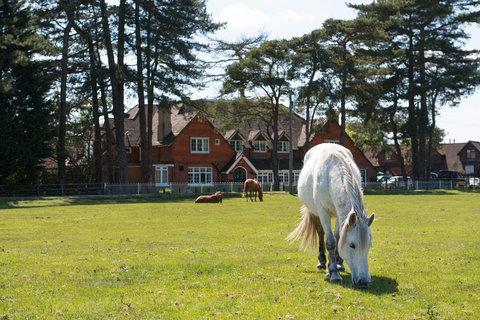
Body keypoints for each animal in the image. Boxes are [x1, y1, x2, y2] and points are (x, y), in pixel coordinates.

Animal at [286, 143, 374, 288]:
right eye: (352, 245)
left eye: (369, 245)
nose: (364, 281)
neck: (331, 174)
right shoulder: (323, 212)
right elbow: (331, 242)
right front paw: (333, 273)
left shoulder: (340, 214)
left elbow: (338, 238)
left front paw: (337, 265)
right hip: (314, 212)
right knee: (321, 233)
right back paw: (322, 262)